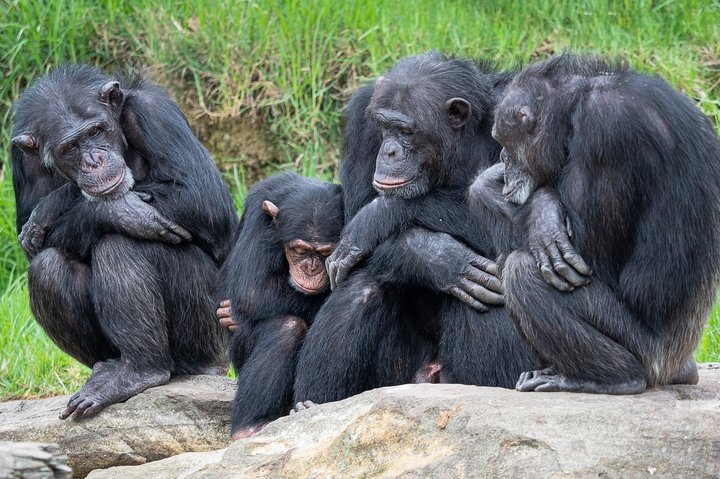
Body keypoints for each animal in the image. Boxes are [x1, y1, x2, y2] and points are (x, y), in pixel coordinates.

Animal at [11, 64, 238, 420]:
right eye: (70, 148)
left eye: (95, 131)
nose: (93, 160)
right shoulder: (22, 158)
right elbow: (29, 241)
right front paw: (120, 211)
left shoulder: (154, 112)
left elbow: (203, 197)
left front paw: (60, 203)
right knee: (47, 267)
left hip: (211, 326)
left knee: (121, 244)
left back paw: (141, 371)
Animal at [217, 174, 344, 440]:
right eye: (299, 250)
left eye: (325, 252)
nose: (310, 268)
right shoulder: (258, 218)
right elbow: (254, 291)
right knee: (286, 327)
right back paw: (249, 426)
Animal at [292, 51, 540, 408]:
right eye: (384, 128)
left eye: (406, 131)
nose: (389, 151)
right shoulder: (363, 124)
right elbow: (352, 220)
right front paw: (435, 257)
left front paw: (380, 216)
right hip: (396, 375)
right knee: (363, 282)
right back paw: (310, 406)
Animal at [478, 54, 720, 396]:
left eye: (501, 139)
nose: (501, 156)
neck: (575, 109)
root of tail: (672, 365)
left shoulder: (606, 131)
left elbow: (590, 251)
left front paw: (543, 215)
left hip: (648, 353)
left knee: (520, 270)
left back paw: (612, 378)